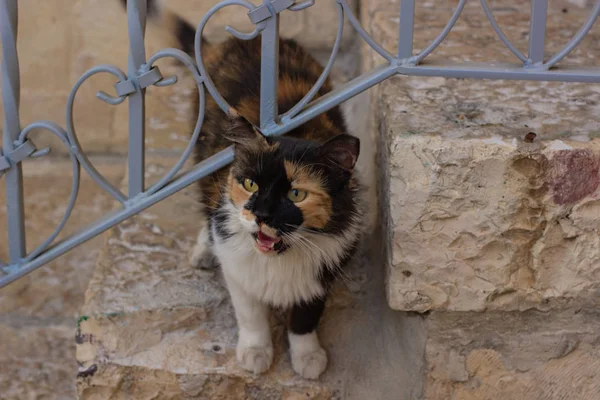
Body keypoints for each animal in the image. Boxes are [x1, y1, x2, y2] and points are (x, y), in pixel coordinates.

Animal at [122, 0, 364, 380]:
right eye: (250, 183)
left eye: (296, 194)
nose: (260, 214)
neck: (278, 257)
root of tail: (232, 41)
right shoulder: (237, 268)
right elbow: (251, 315)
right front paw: (255, 353)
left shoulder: (325, 269)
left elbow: (305, 317)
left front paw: (308, 357)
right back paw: (203, 250)